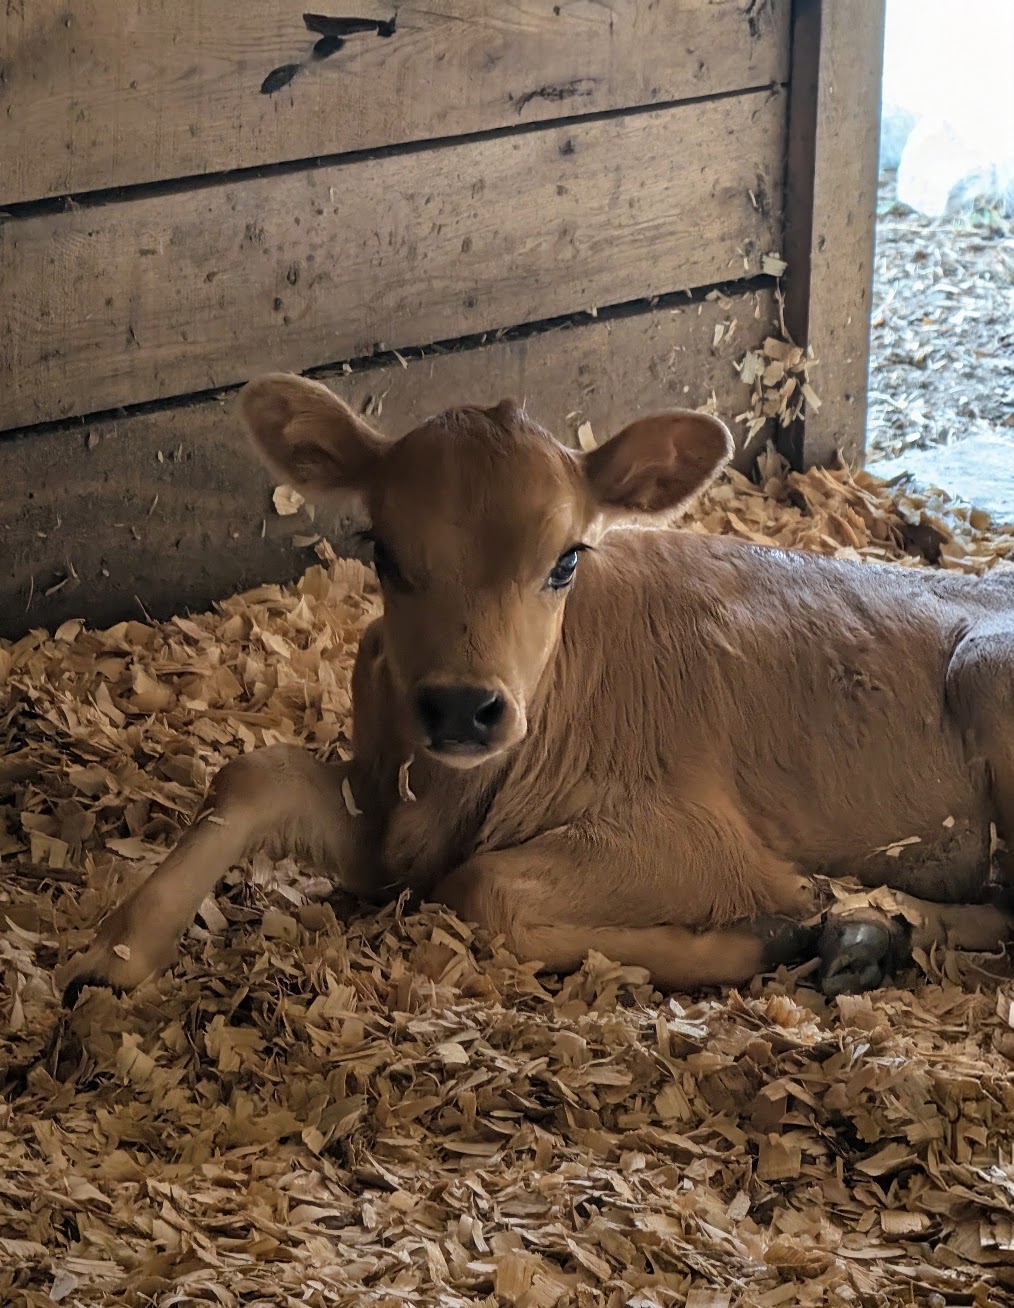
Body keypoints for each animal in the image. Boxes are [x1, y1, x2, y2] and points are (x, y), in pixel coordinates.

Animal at [60, 374, 1014, 1007]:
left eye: (566, 560)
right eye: (383, 551)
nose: (460, 706)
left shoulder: (701, 840)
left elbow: (486, 889)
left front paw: (773, 932)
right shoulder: (385, 819)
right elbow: (255, 774)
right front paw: (112, 952)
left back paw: (869, 931)